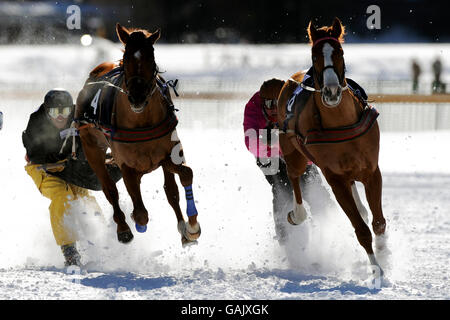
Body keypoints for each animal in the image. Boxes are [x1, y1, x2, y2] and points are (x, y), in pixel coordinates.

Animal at [75, 24, 200, 245]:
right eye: (126, 58)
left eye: (151, 58)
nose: (137, 97)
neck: (141, 121)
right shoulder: (126, 164)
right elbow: (140, 212)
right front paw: (135, 221)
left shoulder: (166, 154)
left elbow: (184, 175)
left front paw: (192, 227)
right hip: (91, 145)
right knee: (110, 190)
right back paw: (123, 228)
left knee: (171, 190)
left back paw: (183, 230)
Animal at [278, 18, 386, 272]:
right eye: (314, 55)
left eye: (340, 52)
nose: (332, 91)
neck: (341, 122)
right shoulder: (335, 179)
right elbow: (362, 230)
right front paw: (376, 269)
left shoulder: (372, 171)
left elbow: (378, 223)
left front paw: (385, 255)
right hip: (293, 152)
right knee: (294, 175)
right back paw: (297, 213)